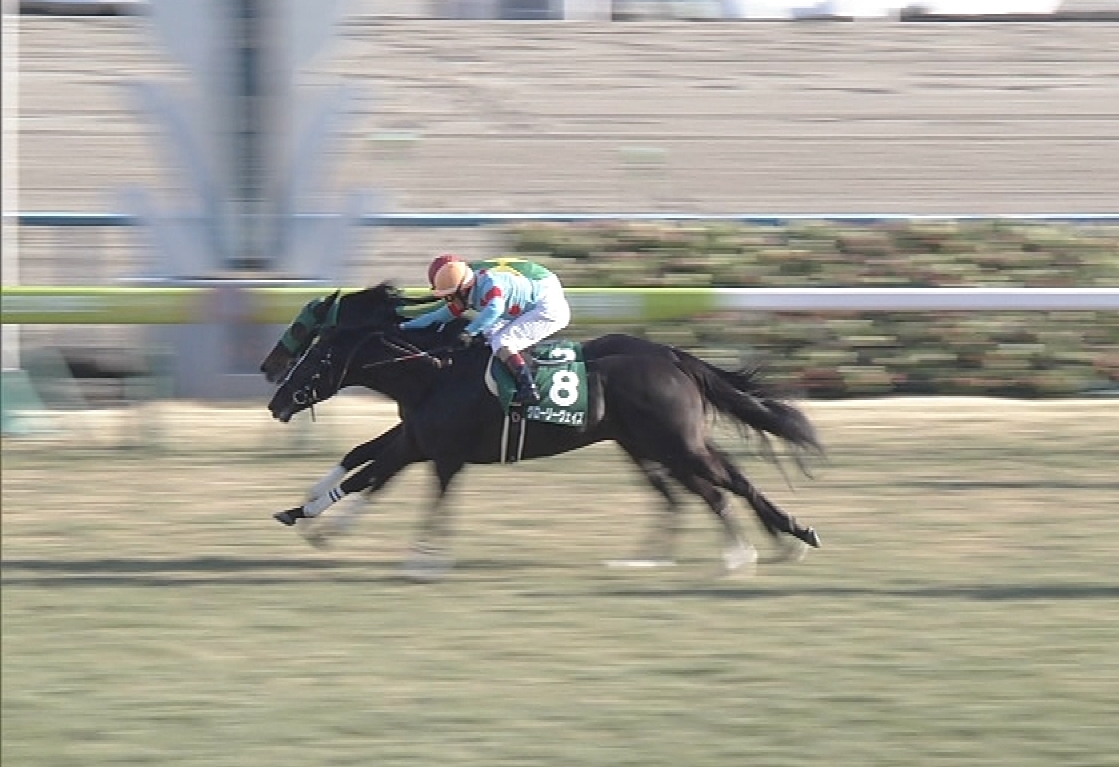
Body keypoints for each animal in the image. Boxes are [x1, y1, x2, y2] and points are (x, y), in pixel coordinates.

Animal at [261, 283, 824, 577]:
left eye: (314, 349)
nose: (274, 395)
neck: (433, 369)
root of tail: (672, 356)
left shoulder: (441, 452)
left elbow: (393, 483)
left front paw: (419, 558)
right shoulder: (417, 439)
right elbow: (362, 464)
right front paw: (306, 512)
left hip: (674, 443)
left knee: (725, 484)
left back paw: (770, 544)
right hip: (649, 445)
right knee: (704, 490)